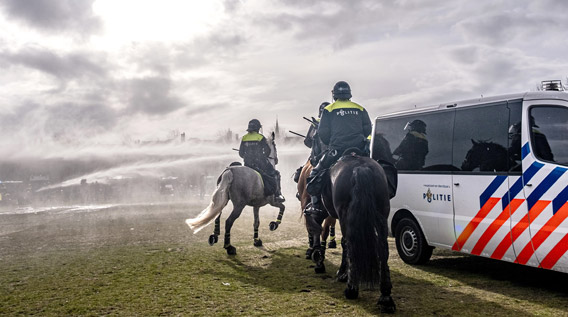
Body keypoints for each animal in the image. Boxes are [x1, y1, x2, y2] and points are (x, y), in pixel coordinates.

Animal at [306, 151, 394, 314]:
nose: (313, 159)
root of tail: (360, 169)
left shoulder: (325, 213)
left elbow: (320, 231)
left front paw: (324, 263)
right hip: (381, 215)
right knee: (383, 249)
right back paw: (385, 297)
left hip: (346, 217)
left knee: (350, 244)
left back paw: (351, 288)